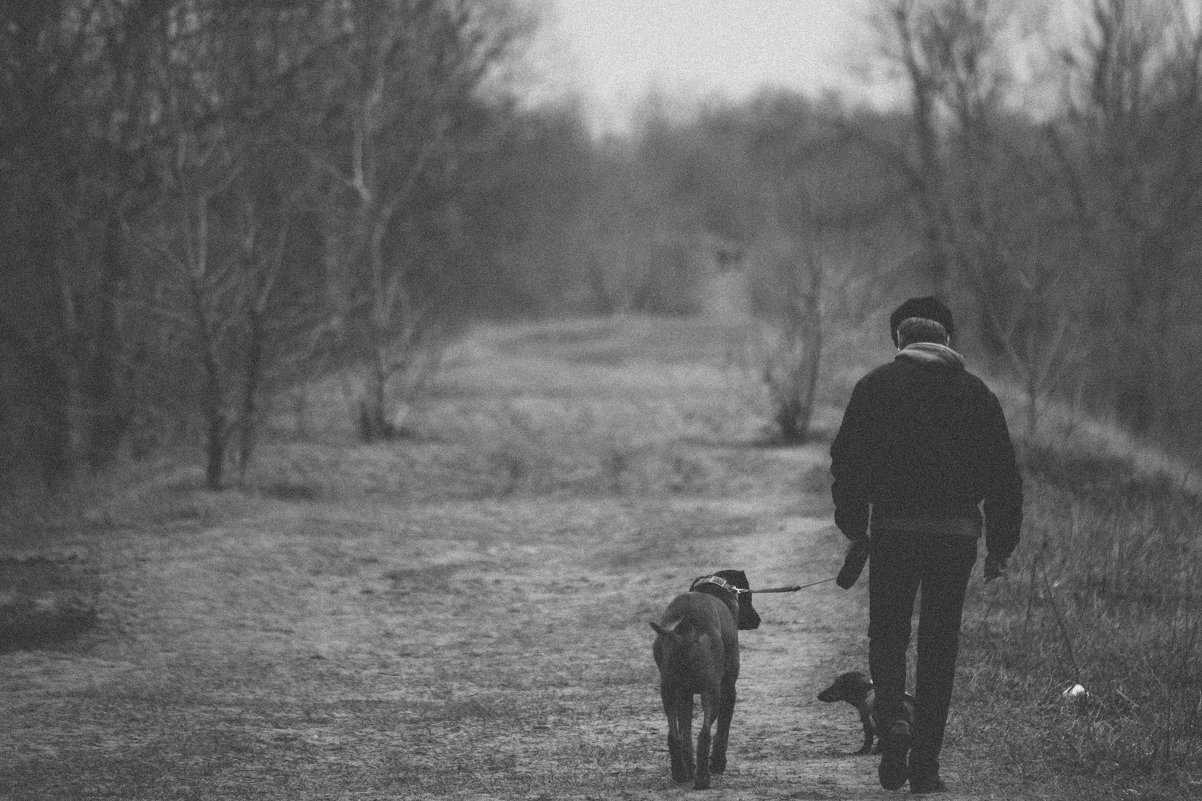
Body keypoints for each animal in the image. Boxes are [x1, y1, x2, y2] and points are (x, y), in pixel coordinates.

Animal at [649, 567, 759, 784]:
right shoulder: (728, 689)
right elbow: (723, 729)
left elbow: (685, 733)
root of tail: (684, 626)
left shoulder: (685, 695)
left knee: (674, 735)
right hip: (712, 691)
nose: (757, 620)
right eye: (748, 596)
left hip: (669, 690)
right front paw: (718, 763)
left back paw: (681, 774)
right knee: (704, 734)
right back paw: (703, 779)